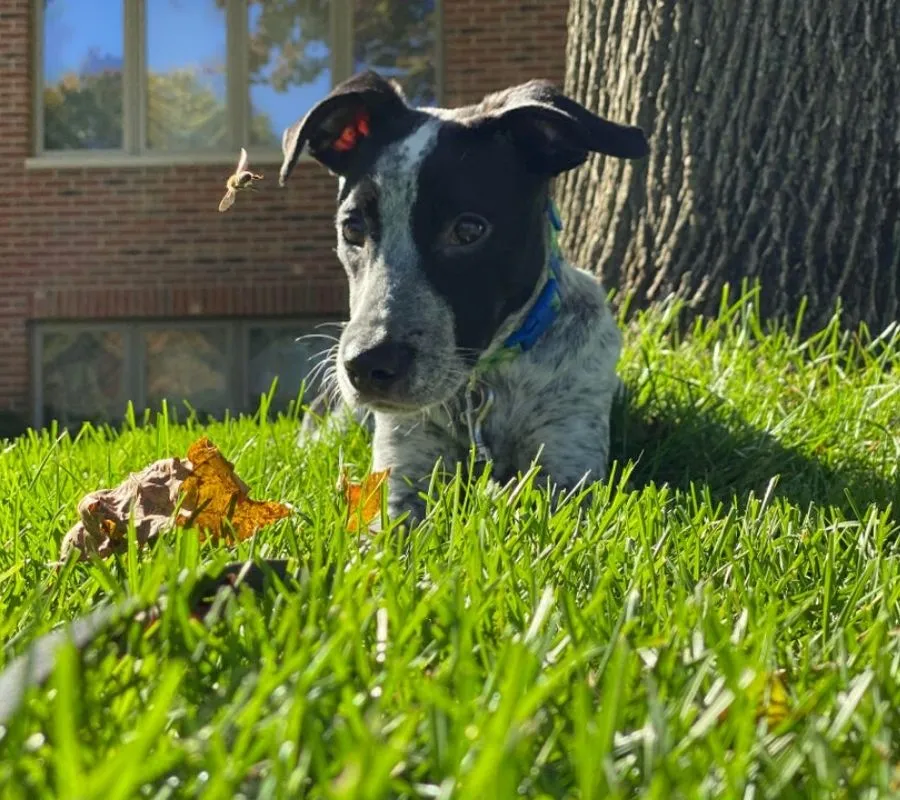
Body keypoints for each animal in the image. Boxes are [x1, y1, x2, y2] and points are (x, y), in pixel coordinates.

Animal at [282, 70, 648, 524]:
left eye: (469, 230)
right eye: (352, 229)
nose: (365, 365)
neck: (484, 385)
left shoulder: (569, 460)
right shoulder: (405, 459)